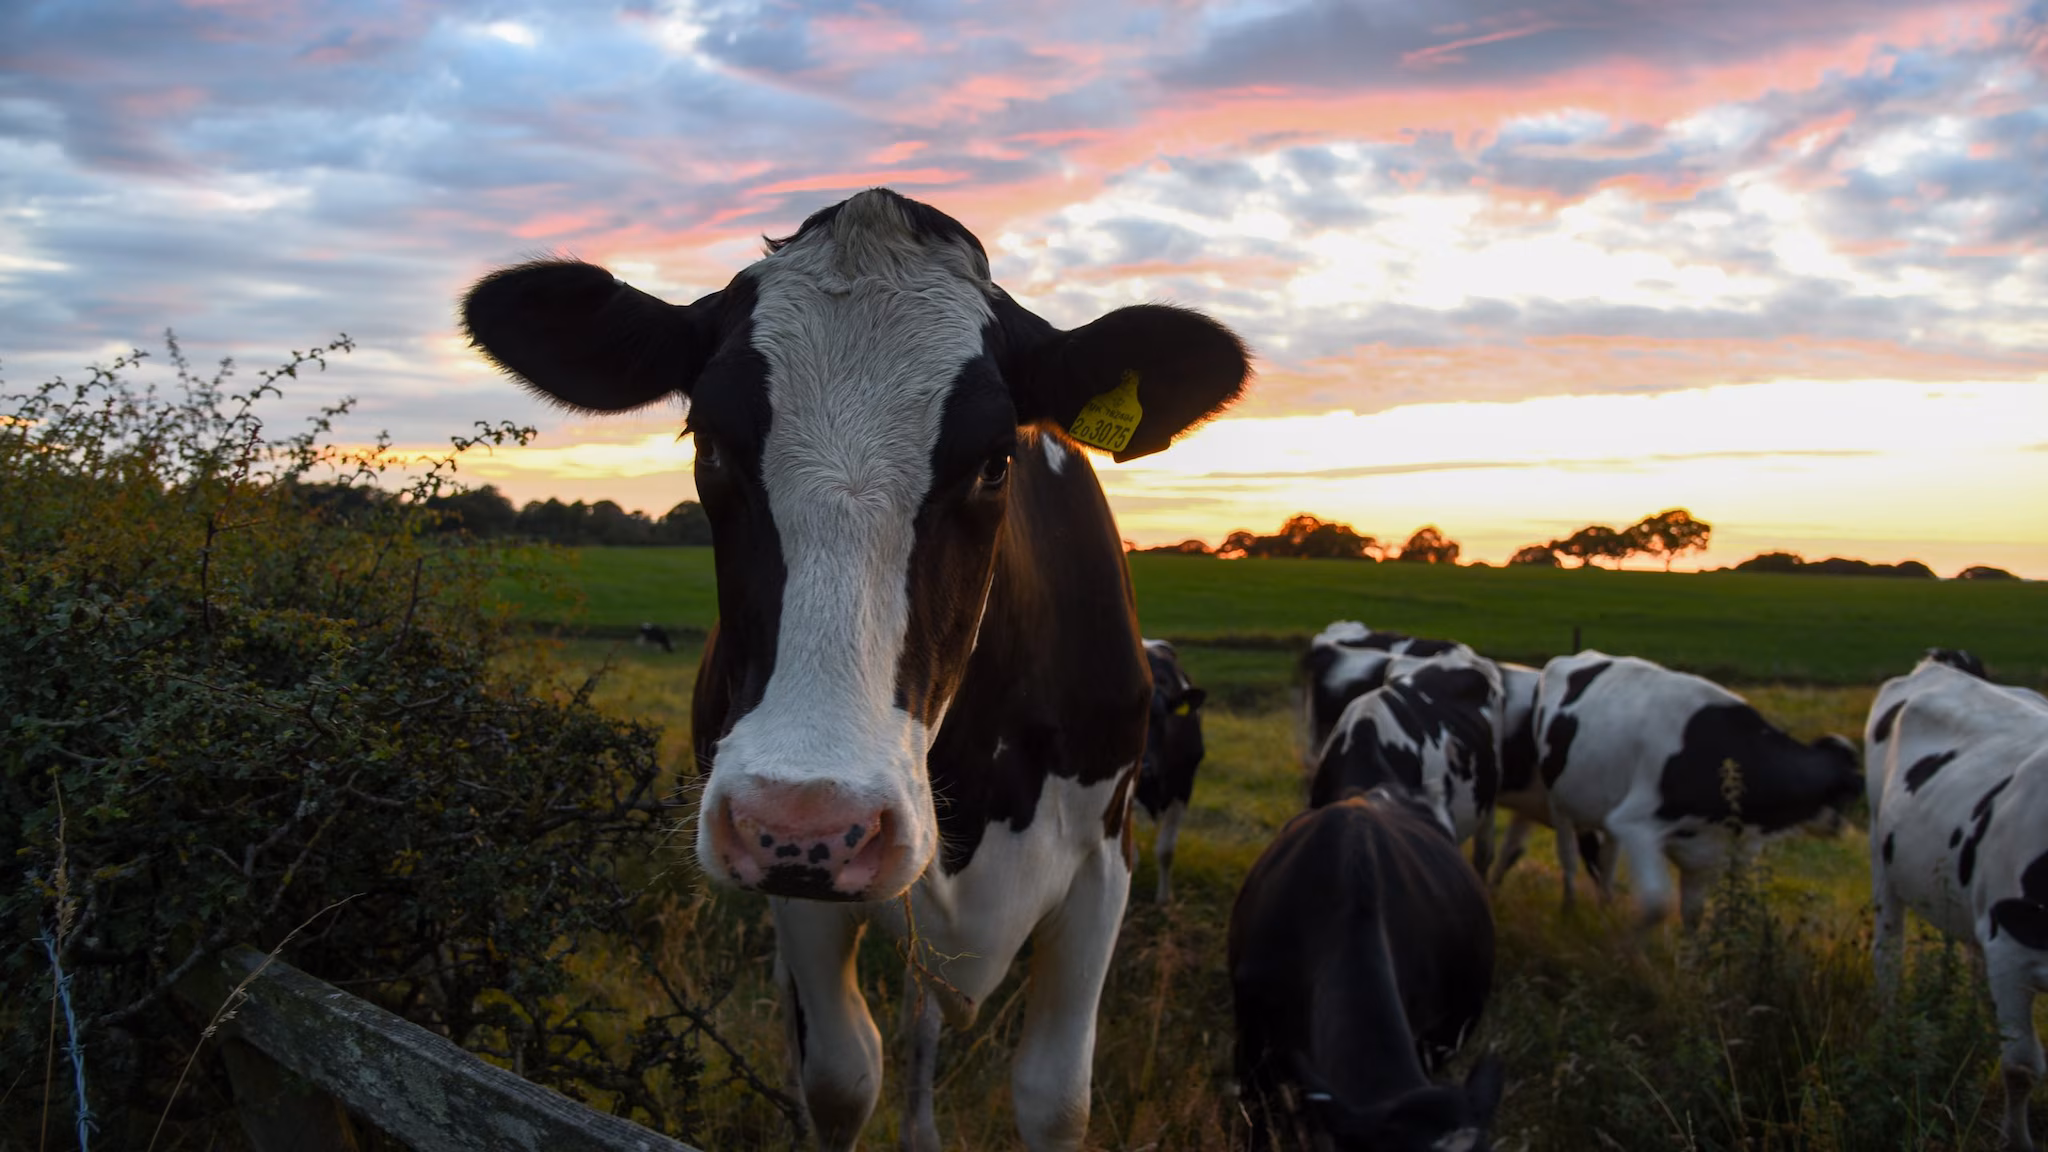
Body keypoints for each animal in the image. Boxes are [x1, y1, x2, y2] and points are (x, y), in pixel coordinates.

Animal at [1535, 651, 1862, 929]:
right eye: (1848, 793)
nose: (1842, 827)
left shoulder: (1711, 850)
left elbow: (1694, 914)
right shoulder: (1633, 823)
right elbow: (1656, 905)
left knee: (1605, 865)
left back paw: (1605, 909)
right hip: (1560, 805)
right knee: (1569, 861)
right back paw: (1568, 911)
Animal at [1867, 651, 2048, 1152]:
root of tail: (1941, 663)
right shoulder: (2010, 951)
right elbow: (2021, 1067)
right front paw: (2017, 1140)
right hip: (1879, 853)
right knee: (1888, 955)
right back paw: (1889, 1036)